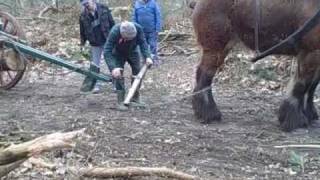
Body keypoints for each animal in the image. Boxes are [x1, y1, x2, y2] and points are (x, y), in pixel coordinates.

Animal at [191, 0, 320, 132]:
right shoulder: (311, 52)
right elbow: (301, 86)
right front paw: (293, 120)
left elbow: (312, 86)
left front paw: (309, 114)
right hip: (216, 47)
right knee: (205, 76)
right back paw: (209, 113)